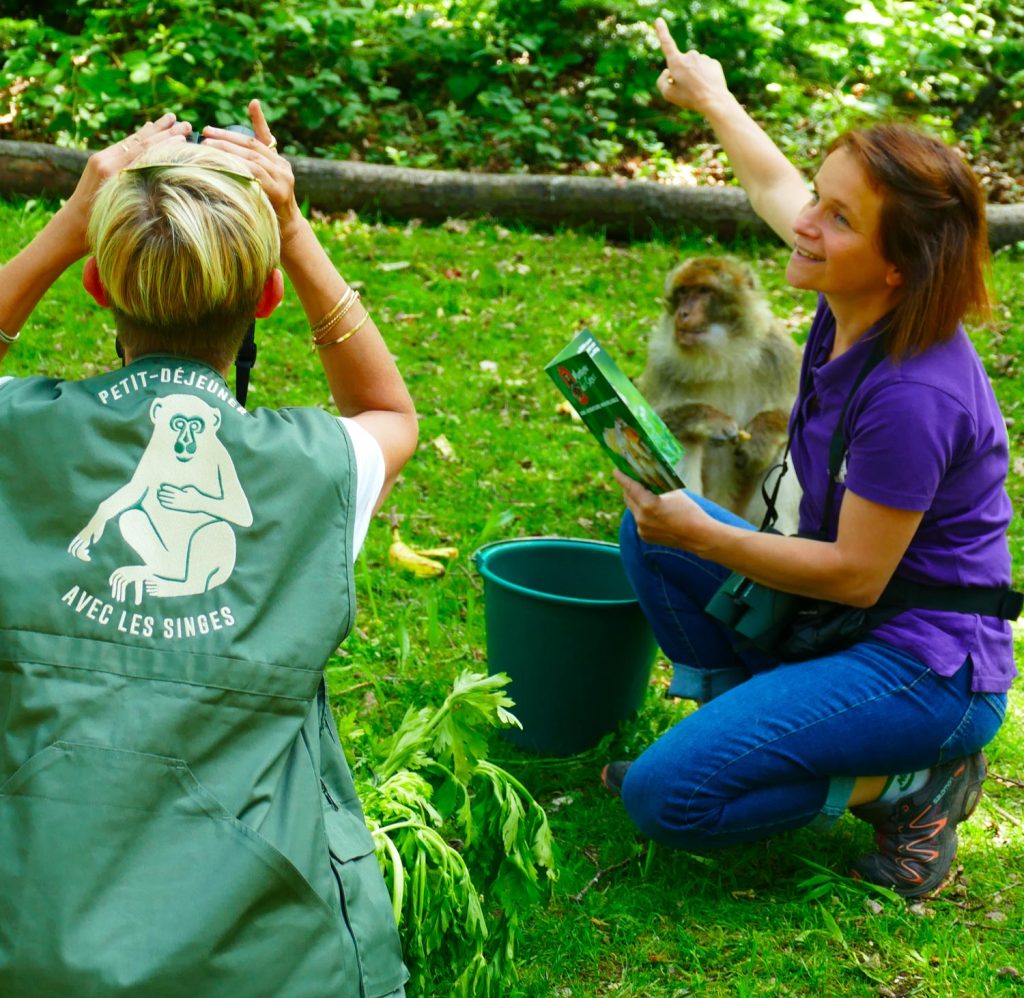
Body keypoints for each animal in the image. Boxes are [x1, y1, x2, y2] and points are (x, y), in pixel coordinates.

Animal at [638, 255, 798, 532]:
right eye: (683, 292)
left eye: (704, 291)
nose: (683, 313)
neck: (723, 357)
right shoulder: (661, 359)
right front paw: (711, 420)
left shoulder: (779, 352)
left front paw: (760, 439)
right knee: (686, 438)